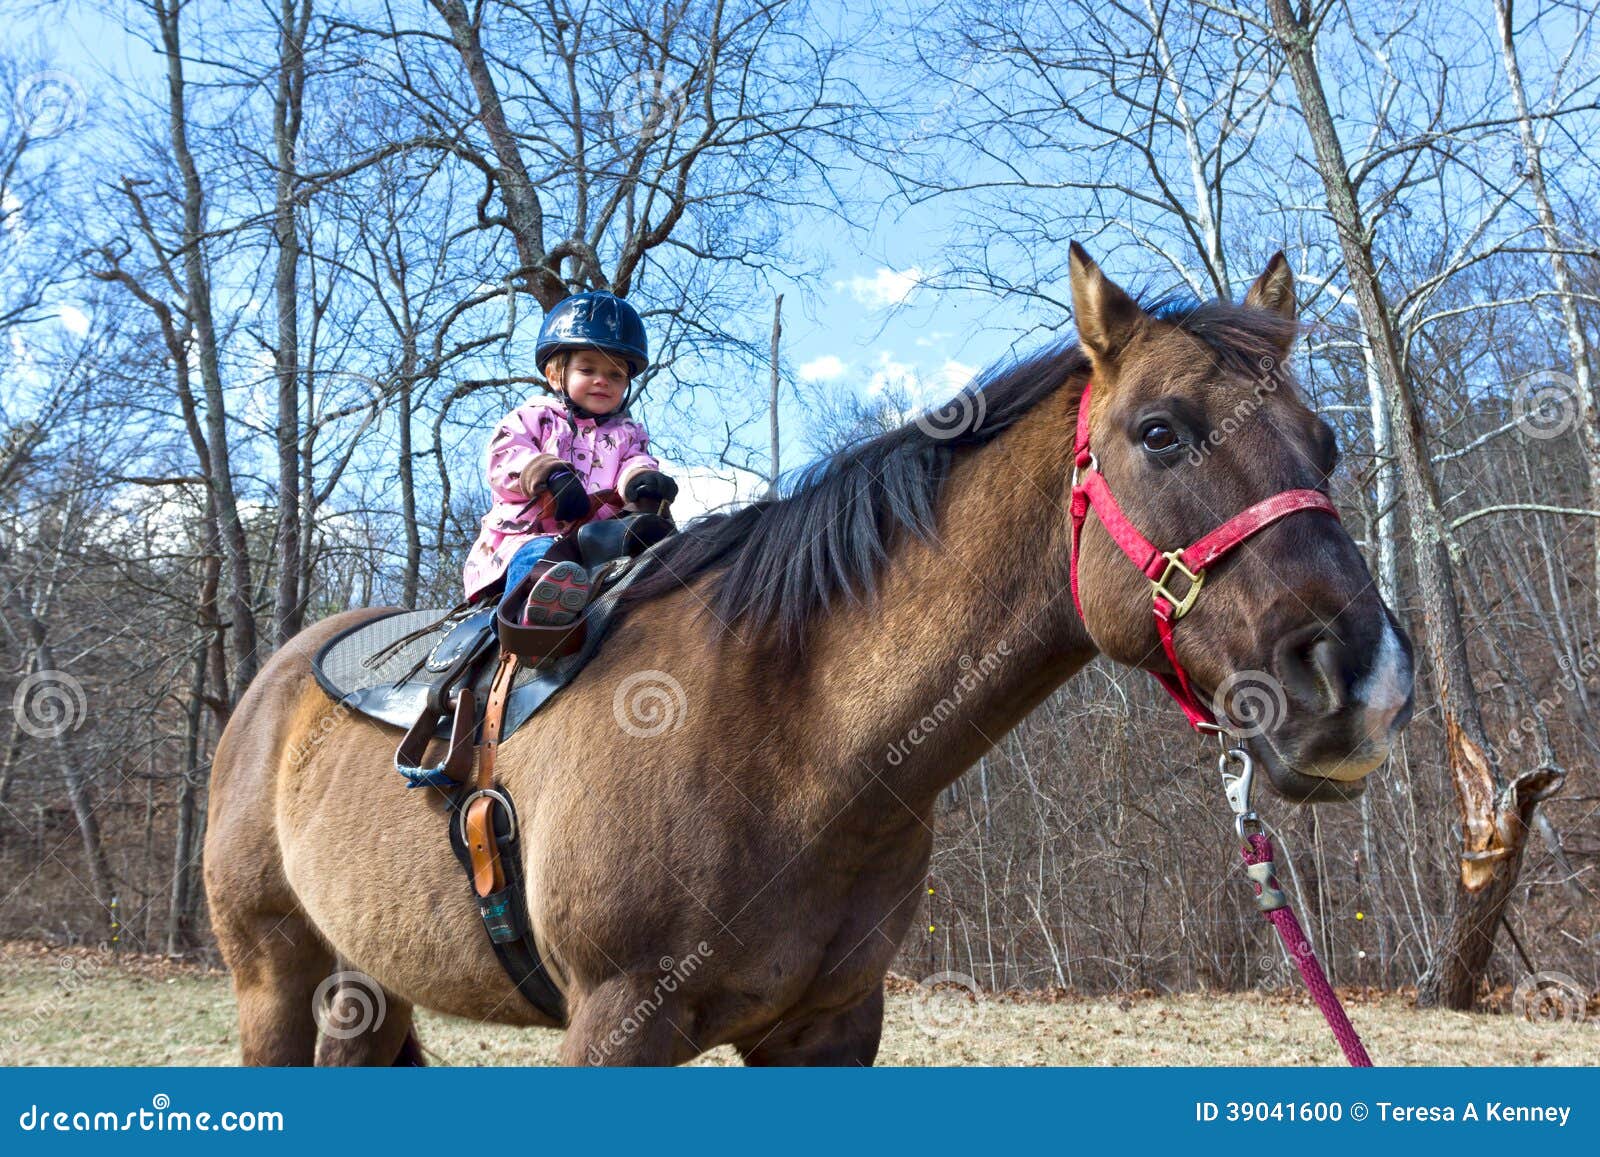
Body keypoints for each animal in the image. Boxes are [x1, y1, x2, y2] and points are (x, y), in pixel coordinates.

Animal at [203, 249, 1414, 1075]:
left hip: (367, 981)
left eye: (1326, 443)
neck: (794, 733)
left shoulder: (828, 1028)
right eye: (1160, 432)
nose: (1363, 681)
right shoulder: (616, 1022)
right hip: (272, 978)